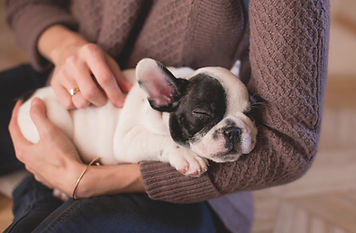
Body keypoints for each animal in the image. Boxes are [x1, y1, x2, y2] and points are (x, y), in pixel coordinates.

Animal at [17, 58, 256, 177]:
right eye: (202, 113)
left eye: (250, 113)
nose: (234, 130)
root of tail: (28, 97)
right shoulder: (127, 139)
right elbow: (160, 139)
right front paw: (187, 156)